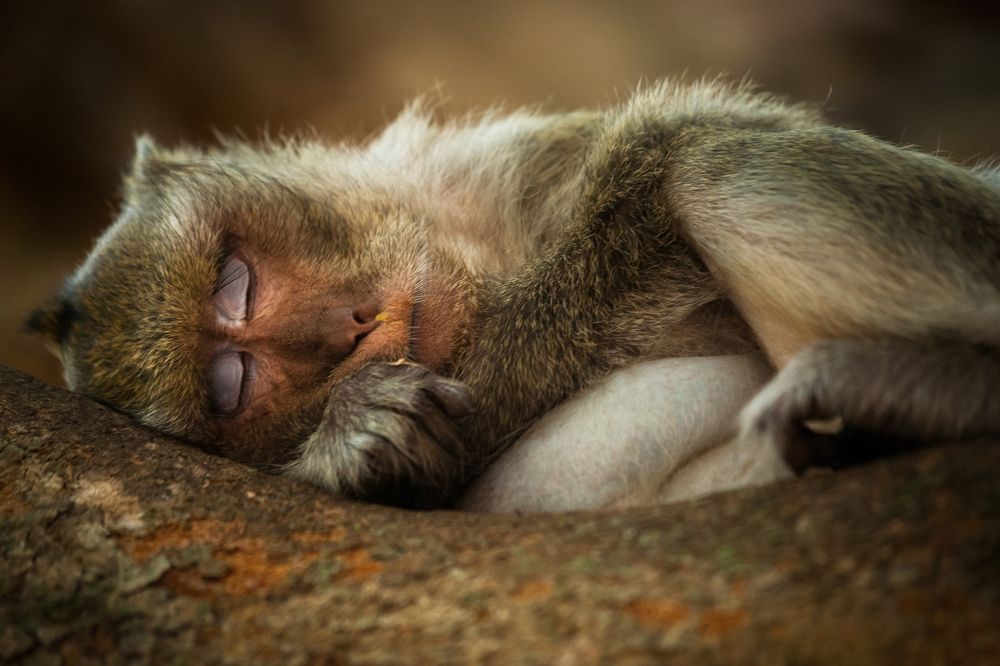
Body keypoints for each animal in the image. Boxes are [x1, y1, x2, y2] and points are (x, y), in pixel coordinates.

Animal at [28, 79, 1000, 510]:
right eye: (232, 385)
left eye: (237, 277)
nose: (343, 332)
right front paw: (358, 441)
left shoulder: (515, 164)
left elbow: (645, 181)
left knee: (700, 156)